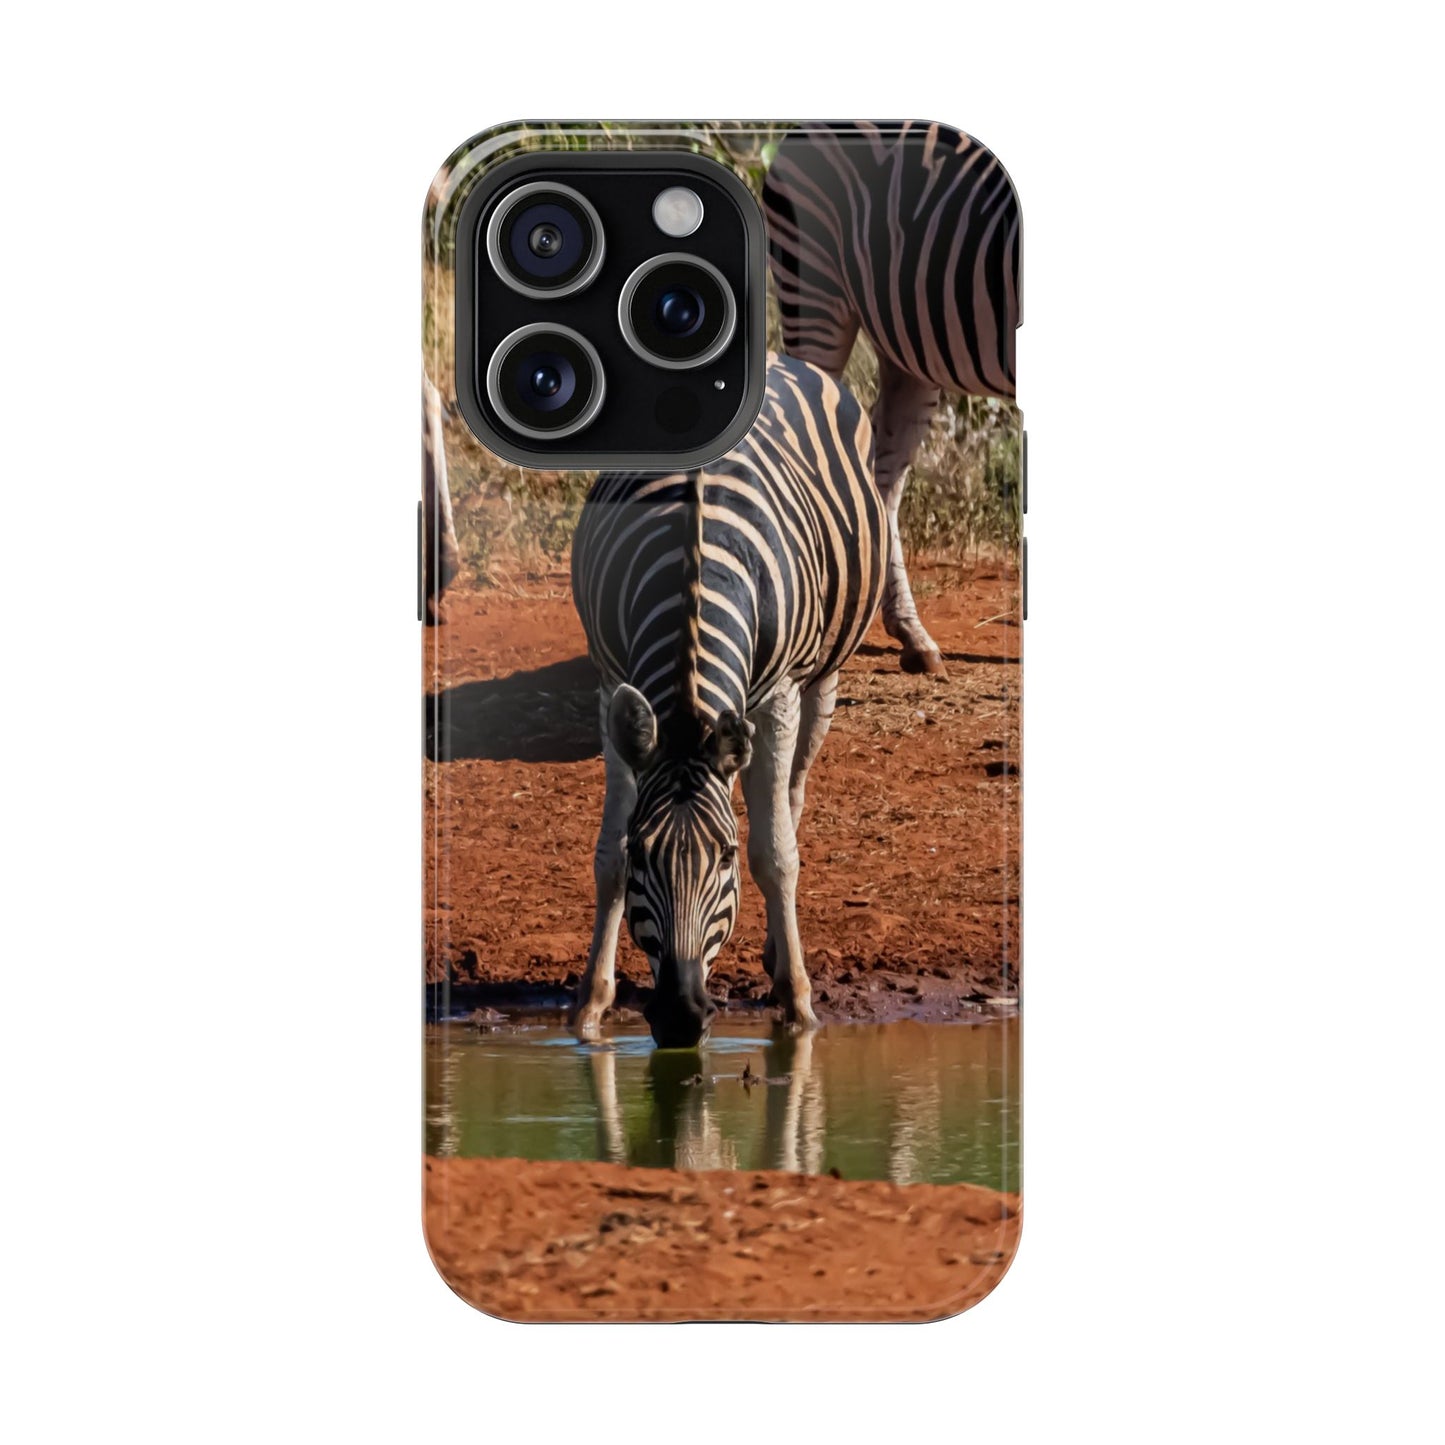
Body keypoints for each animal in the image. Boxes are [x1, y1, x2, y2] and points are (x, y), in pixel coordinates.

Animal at [570, 354, 886, 1047]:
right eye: (644, 853)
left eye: (725, 857)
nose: (681, 1017)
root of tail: (774, 356)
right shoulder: (610, 685)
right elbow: (605, 857)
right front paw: (591, 1005)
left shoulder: (779, 695)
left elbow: (776, 854)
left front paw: (798, 1004)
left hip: (821, 679)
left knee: (790, 798)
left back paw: (778, 955)